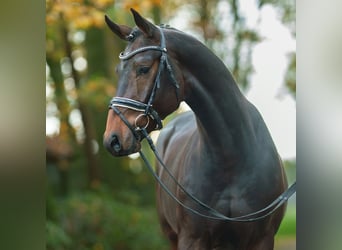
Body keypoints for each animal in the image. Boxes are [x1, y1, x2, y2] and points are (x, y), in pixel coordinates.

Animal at [103, 8, 288, 250]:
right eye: (118, 70)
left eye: (143, 68)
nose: (112, 139)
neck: (232, 157)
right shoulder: (191, 238)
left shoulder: (262, 240)